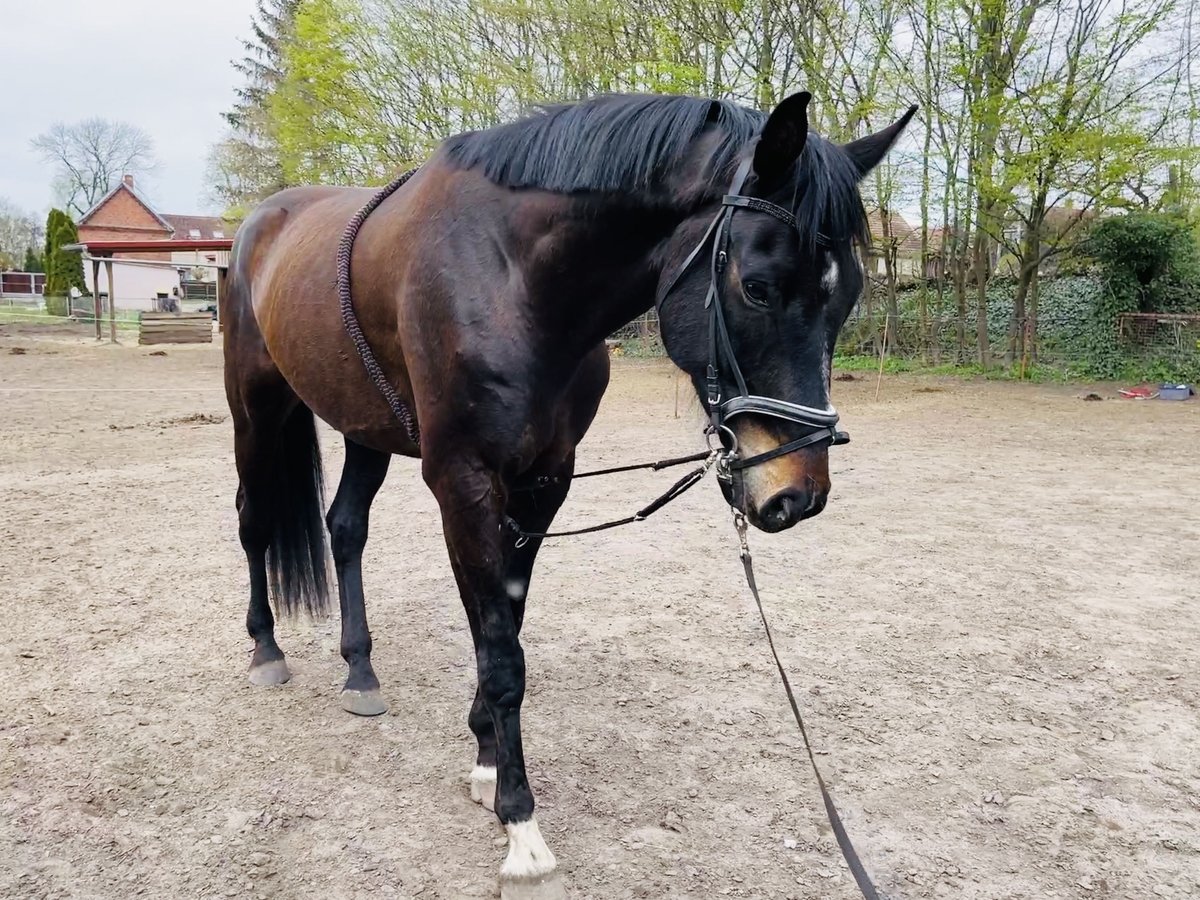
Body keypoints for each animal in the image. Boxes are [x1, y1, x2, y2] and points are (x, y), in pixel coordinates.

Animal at [222, 90, 914, 896]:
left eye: (849, 297)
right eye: (758, 287)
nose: (797, 492)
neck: (513, 282)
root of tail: (260, 223)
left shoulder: (544, 481)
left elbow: (507, 624)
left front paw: (487, 761)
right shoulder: (463, 482)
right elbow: (500, 652)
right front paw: (520, 823)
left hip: (364, 425)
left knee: (345, 527)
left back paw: (359, 668)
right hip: (254, 409)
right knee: (252, 523)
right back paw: (266, 649)